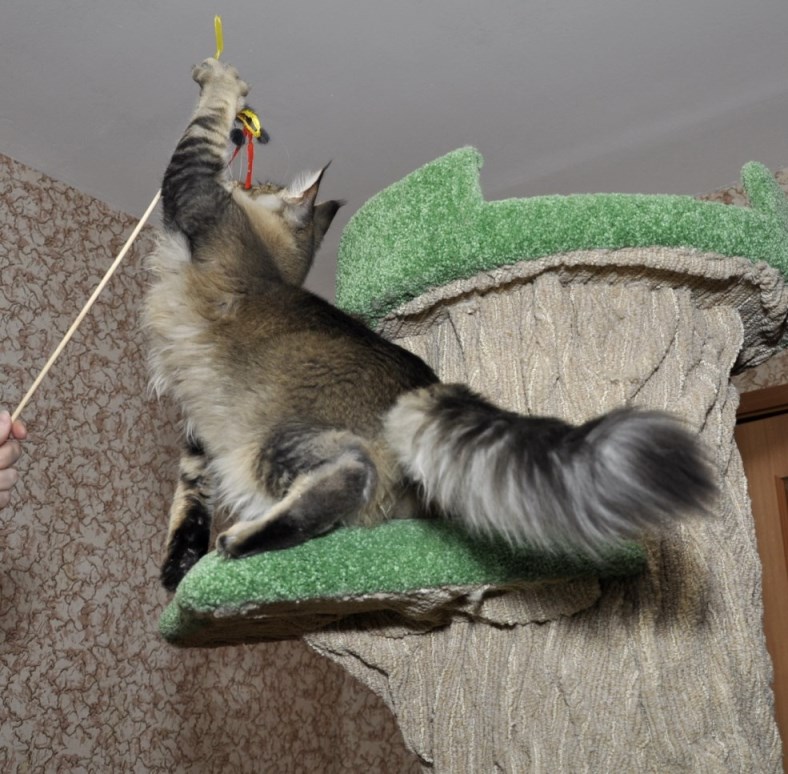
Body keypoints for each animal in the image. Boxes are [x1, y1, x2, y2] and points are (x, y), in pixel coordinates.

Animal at [145, 58, 715, 592]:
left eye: (264, 186)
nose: (254, 179)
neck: (275, 265)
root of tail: (424, 384)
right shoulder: (197, 444)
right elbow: (188, 506)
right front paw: (177, 575)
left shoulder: (194, 191)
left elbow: (202, 127)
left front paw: (221, 81)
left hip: (274, 439)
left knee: (349, 473)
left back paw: (240, 540)